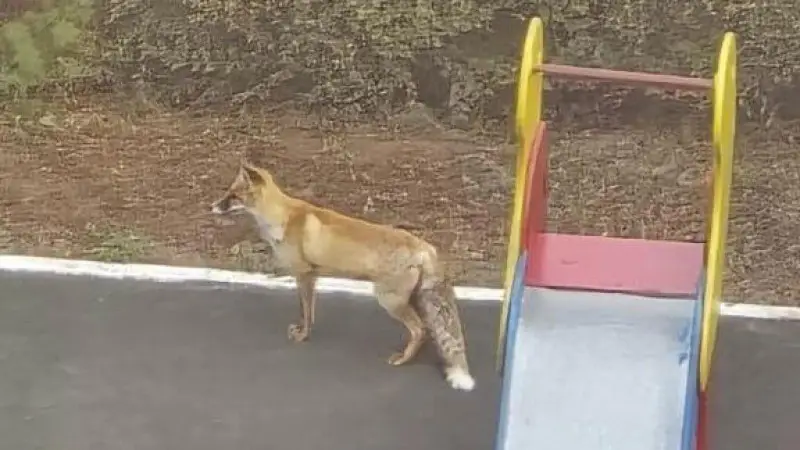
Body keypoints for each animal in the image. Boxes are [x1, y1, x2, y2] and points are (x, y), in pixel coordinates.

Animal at [209, 161, 475, 391]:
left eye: (234, 196)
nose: (211, 207)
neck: (282, 218)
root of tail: (425, 247)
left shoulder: (303, 274)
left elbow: (305, 312)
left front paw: (303, 336)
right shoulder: (313, 276)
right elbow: (310, 311)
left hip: (389, 300)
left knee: (420, 330)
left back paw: (402, 359)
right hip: (412, 299)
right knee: (429, 330)